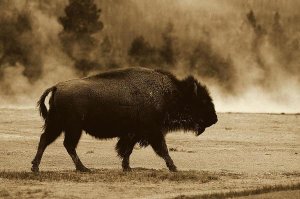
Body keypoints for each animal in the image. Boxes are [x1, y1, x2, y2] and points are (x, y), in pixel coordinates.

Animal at [31, 67, 217, 173]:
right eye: (202, 100)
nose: (214, 119)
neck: (170, 93)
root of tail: (57, 86)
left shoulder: (133, 134)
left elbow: (127, 150)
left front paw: (127, 167)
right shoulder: (153, 131)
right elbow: (162, 149)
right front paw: (174, 167)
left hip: (58, 125)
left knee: (46, 140)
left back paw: (36, 167)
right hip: (72, 127)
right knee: (67, 144)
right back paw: (83, 169)